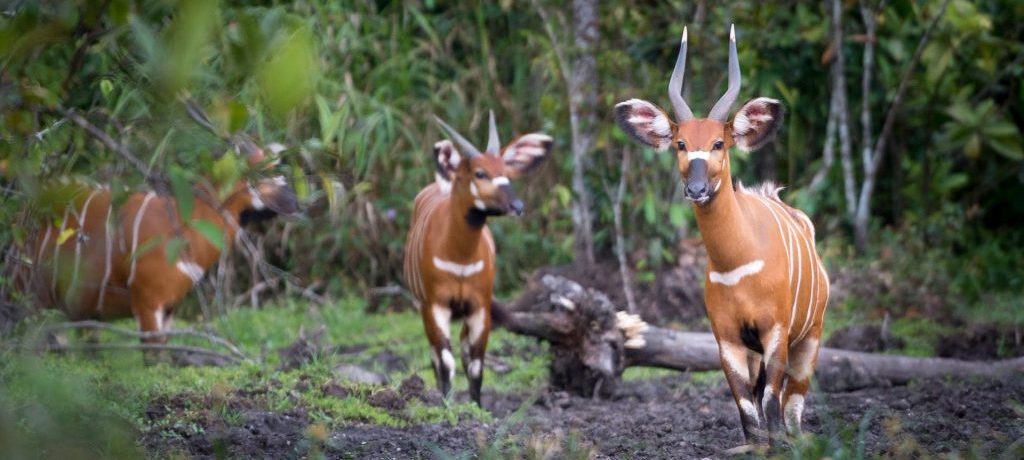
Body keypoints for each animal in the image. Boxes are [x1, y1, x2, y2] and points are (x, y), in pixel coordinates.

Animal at [24, 145, 296, 356]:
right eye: (263, 174)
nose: (296, 201)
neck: (182, 226)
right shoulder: (147, 302)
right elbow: (154, 357)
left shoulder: (169, 306)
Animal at [403, 112, 557, 405]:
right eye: (480, 173)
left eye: (507, 173)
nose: (517, 206)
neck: (460, 258)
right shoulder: (434, 304)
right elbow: (445, 360)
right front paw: (447, 407)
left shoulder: (480, 305)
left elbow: (475, 363)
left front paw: (478, 408)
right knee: (436, 355)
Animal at [610, 26, 827, 442]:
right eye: (680, 144)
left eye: (718, 143)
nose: (696, 189)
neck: (737, 263)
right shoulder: (727, 339)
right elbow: (748, 413)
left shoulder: (776, 332)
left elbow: (771, 405)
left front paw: (778, 444)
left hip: (810, 336)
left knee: (792, 407)